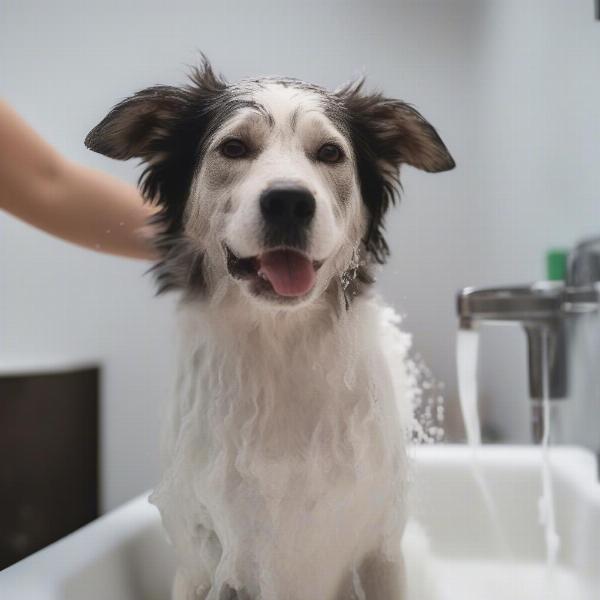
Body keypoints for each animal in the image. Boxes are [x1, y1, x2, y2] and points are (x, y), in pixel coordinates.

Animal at [85, 59, 454, 600]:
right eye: (234, 147)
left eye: (329, 153)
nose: (288, 202)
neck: (278, 343)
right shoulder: (202, 557)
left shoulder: (380, 545)